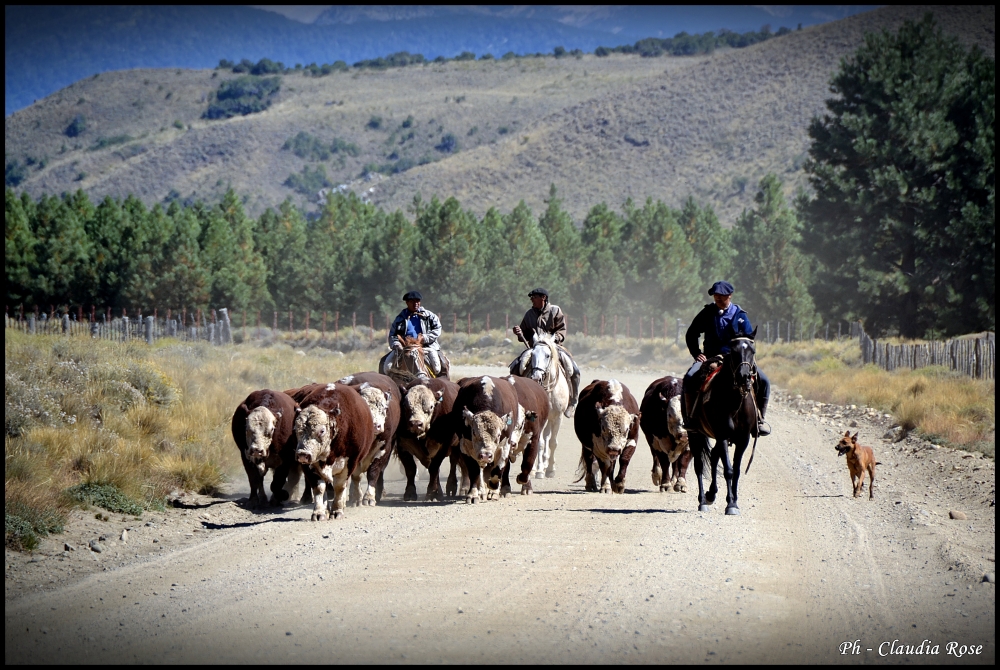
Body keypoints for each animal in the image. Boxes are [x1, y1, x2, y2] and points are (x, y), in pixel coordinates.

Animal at [296, 384, 378, 520]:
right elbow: (319, 488)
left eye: (322, 431)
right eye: (296, 429)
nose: (303, 454)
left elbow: (339, 486)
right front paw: (319, 512)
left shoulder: (350, 461)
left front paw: (337, 510)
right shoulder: (308, 466)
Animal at [336, 372, 398, 510]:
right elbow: (355, 475)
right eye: (364, 409)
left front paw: (369, 497)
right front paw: (356, 497)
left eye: (384, 408)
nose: (376, 425)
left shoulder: (384, 448)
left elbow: (373, 472)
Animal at [516, 330, 572, 478]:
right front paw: (540, 470)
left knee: (547, 436)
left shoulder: (558, 417)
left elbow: (553, 442)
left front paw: (551, 469)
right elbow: (540, 442)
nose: (536, 377)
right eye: (532, 354)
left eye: (547, 355)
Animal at [684, 334, 760, 516]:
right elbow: (728, 470)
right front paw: (731, 504)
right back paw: (703, 501)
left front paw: (734, 501)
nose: (744, 376)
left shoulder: (743, 439)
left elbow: (736, 470)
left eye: (752, 351)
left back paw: (711, 494)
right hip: (695, 434)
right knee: (699, 465)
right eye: (733, 351)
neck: (734, 402)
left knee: (713, 456)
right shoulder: (723, 435)